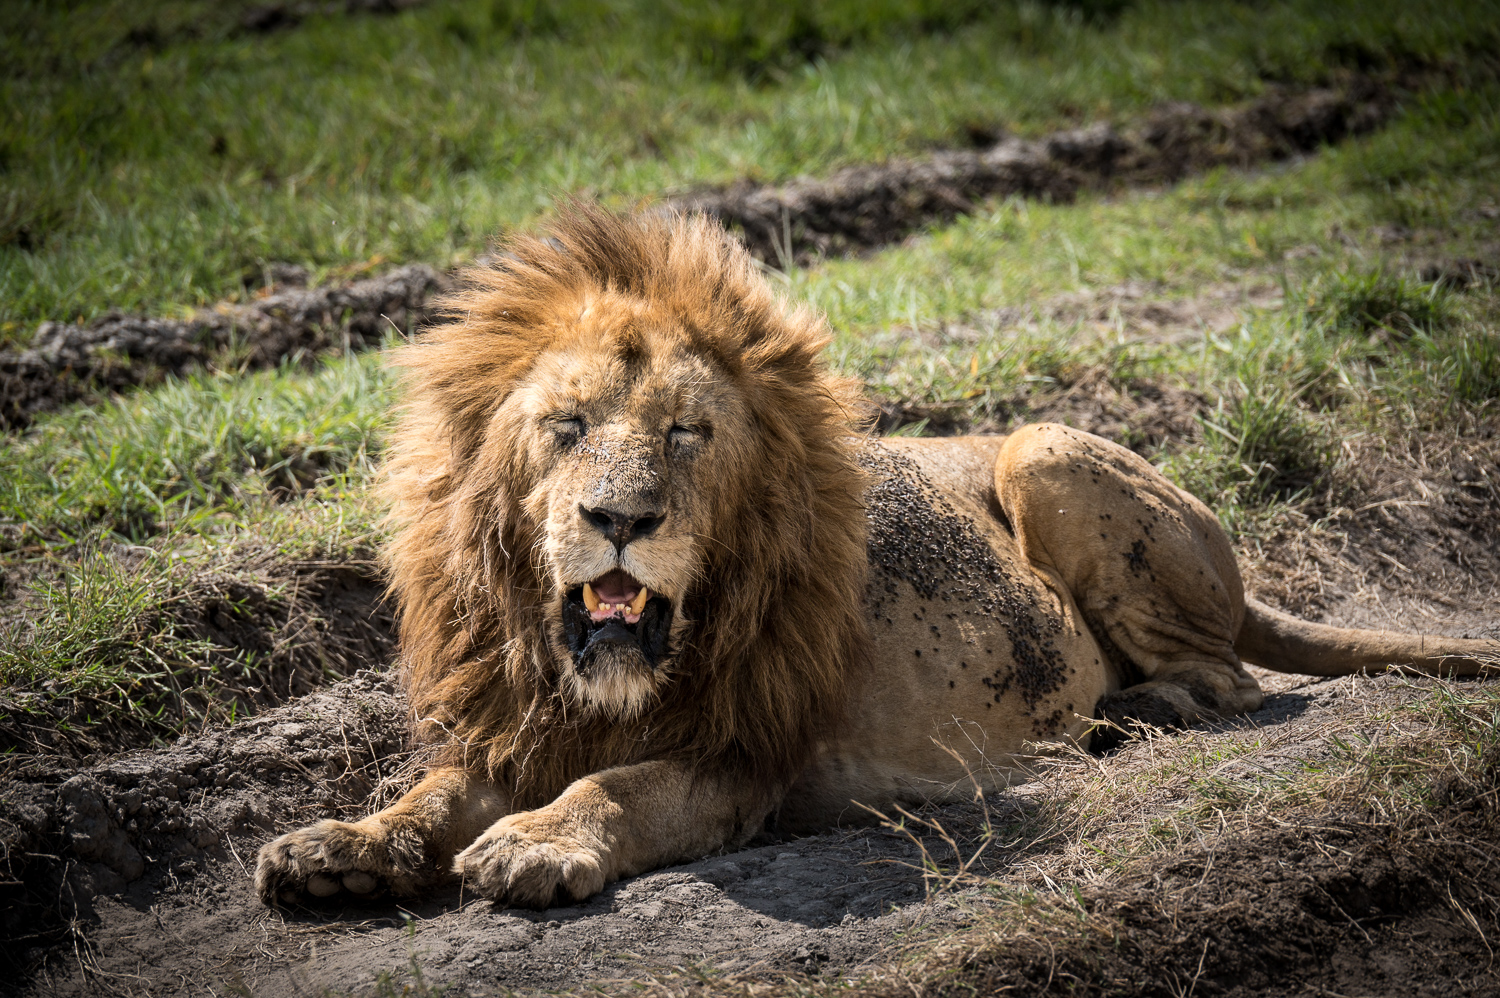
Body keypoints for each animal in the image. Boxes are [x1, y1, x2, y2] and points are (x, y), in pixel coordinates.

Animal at [258, 201, 1500, 900]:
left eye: (686, 432)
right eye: (565, 426)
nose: (619, 518)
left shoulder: (746, 755)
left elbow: (618, 785)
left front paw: (533, 846)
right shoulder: (517, 725)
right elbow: (426, 792)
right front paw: (335, 847)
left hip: (1044, 445)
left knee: (1231, 673)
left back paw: (1137, 713)